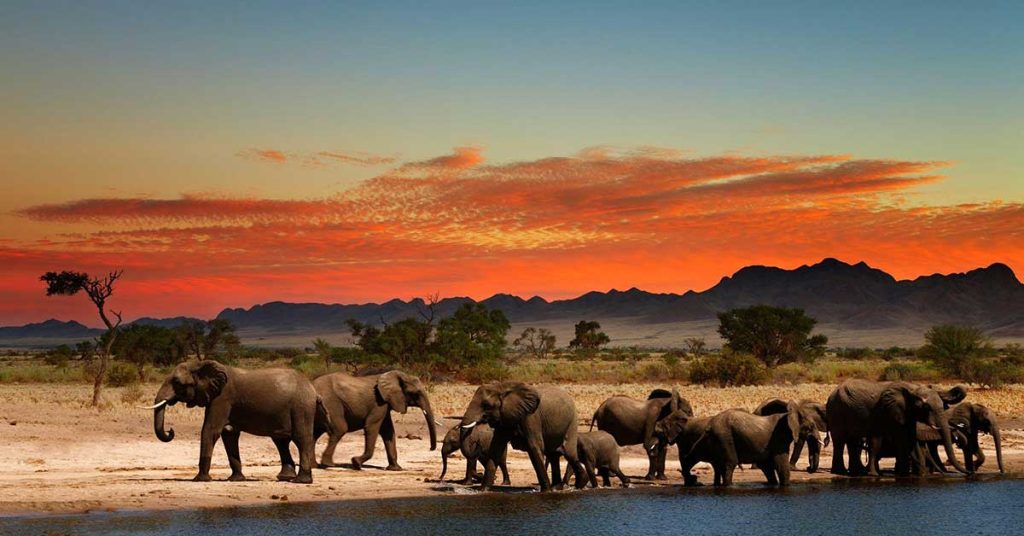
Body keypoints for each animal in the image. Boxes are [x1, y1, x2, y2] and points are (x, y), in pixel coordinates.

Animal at [148, 360, 331, 484]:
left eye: (177, 383)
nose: (170, 431)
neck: (200, 365)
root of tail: (313, 390)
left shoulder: (222, 398)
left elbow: (211, 430)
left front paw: (200, 479)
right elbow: (229, 434)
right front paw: (235, 479)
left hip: (301, 406)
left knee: (301, 438)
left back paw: (301, 481)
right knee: (281, 441)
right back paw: (285, 478)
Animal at [826, 379, 968, 476]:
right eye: (926, 407)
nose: (969, 472)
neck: (913, 388)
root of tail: (832, 394)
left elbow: (911, 438)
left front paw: (916, 474)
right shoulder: (893, 411)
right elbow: (902, 437)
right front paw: (905, 474)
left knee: (852, 441)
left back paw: (856, 472)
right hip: (836, 411)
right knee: (840, 441)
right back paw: (840, 472)